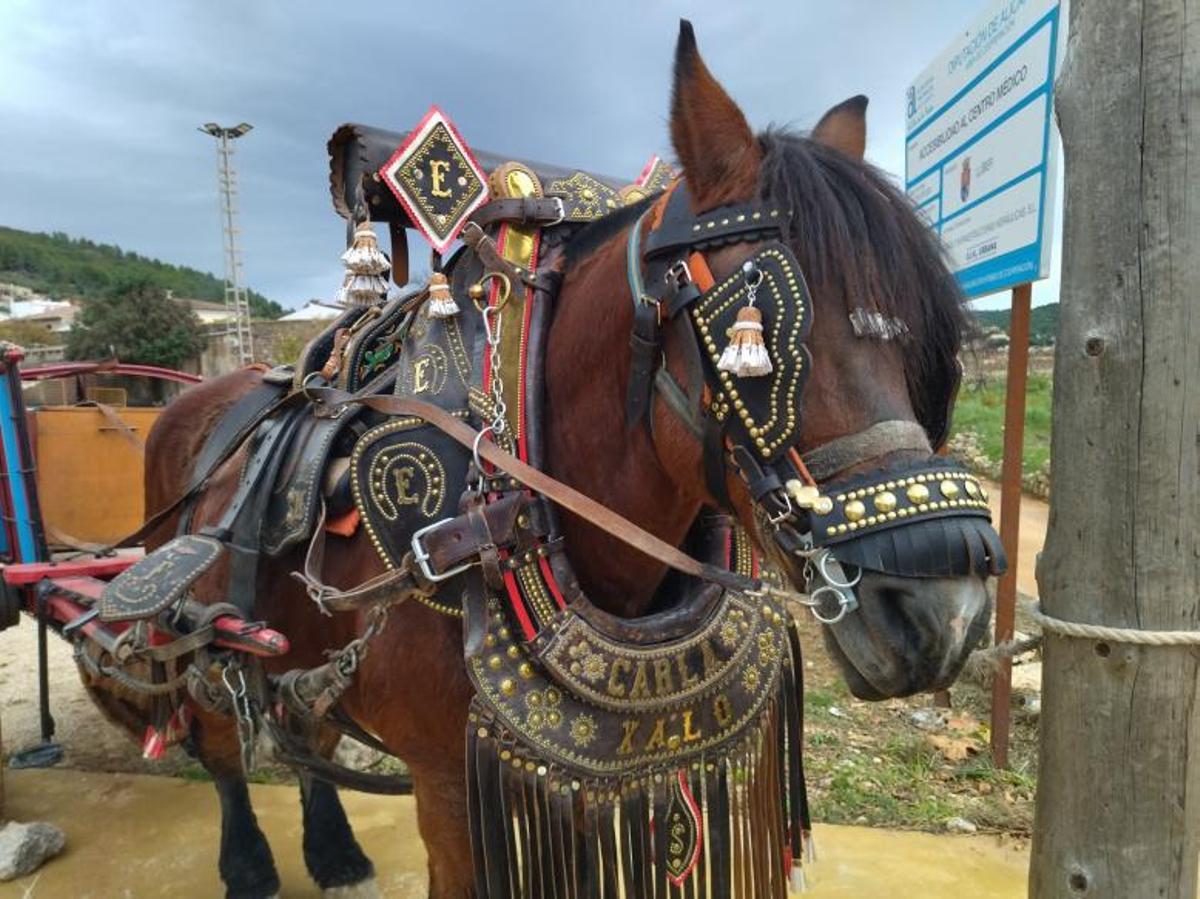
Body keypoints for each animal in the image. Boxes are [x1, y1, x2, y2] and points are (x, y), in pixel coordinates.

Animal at [77, 21, 993, 897]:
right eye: (758, 333)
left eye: (922, 339)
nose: (942, 611)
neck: (511, 496)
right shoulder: (449, 784)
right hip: (191, 625)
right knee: (221, 741)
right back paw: (248, 861)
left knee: (306, 733)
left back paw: (334, 849)